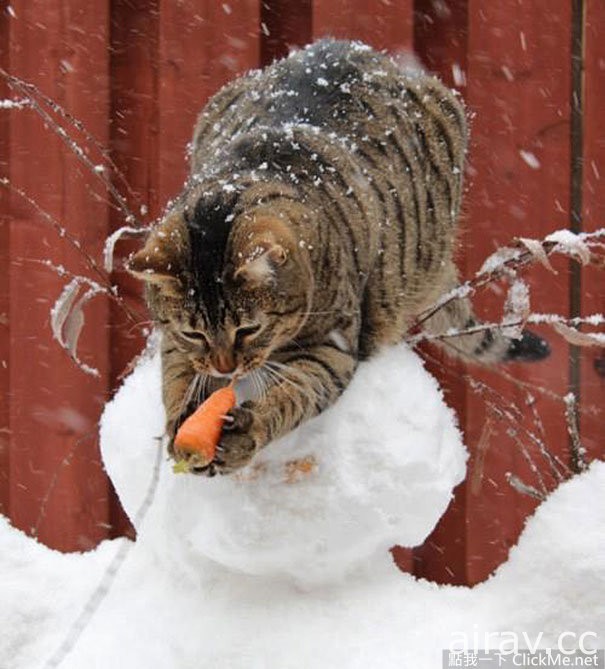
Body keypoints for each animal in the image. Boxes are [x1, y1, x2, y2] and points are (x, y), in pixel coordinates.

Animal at [127, 39, 548, 474]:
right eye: (194, 333)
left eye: (249, 329)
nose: (225, 368)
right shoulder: (175, 343)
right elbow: (176, 378)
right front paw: (183, 421)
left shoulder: (333, 349)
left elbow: (293, 394)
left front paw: (249, 428)